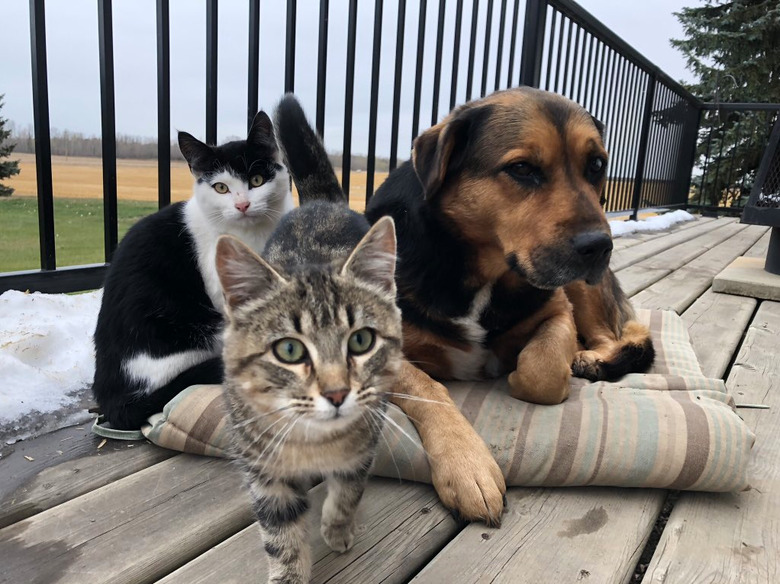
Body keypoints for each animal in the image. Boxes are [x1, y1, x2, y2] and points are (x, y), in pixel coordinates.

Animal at [215, 97, 402, 584]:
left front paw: (337, 528)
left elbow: (348, 489)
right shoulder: (265, 474)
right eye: (289, 350)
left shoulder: (364, 444)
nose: (337, 393)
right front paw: (289, 572)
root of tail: (320, 202)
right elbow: (281, 538)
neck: (315, 443)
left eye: (361, 341)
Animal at [274, 88, 652, 528]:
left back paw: (588, 357)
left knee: (610, 336)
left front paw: (525, 370)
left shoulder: (557, 309)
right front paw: (467, 465)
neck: (479, 270)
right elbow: (432, 391)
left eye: (596, 166)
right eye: (522, 169)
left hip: (582, 290)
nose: (600, 247)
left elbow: (541, 370)